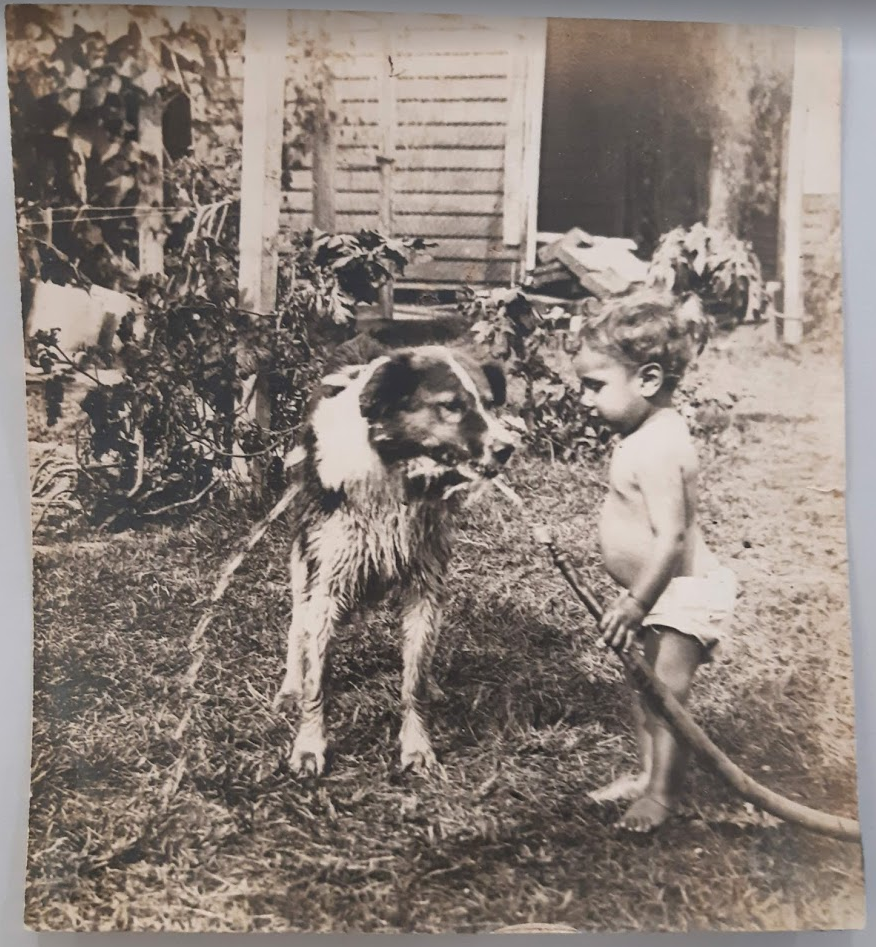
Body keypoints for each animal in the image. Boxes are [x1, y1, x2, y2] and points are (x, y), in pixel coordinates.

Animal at [274, 344, 516, 772]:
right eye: (451, 406)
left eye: (489, 404)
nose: (508, 448)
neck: (395, 472)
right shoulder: (327, 583)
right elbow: (317, 680)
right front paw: (309, 745)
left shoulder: (425, 583)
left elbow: (413, 679)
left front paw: (416, 744)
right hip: (304, 563)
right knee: (296, 626)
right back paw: (290, 686)